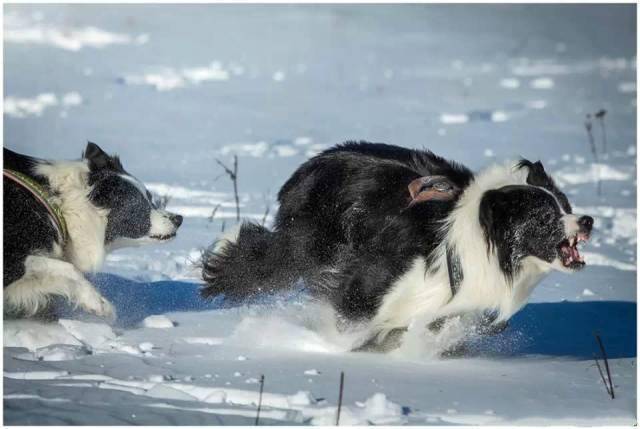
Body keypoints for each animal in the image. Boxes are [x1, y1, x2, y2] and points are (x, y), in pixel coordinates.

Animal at [4, 143, 185, 318]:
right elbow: (70, 268)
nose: (179, 219)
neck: (64, 207)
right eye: (138, 204)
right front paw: (99, 304)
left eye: (150, 198)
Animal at [202, 140, 592, 348]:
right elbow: (351, 321)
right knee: (261, 257)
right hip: (307, 246)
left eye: (566, 206)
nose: (587, 221)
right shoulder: (369, 283)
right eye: (543, 217)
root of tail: (310, 164)